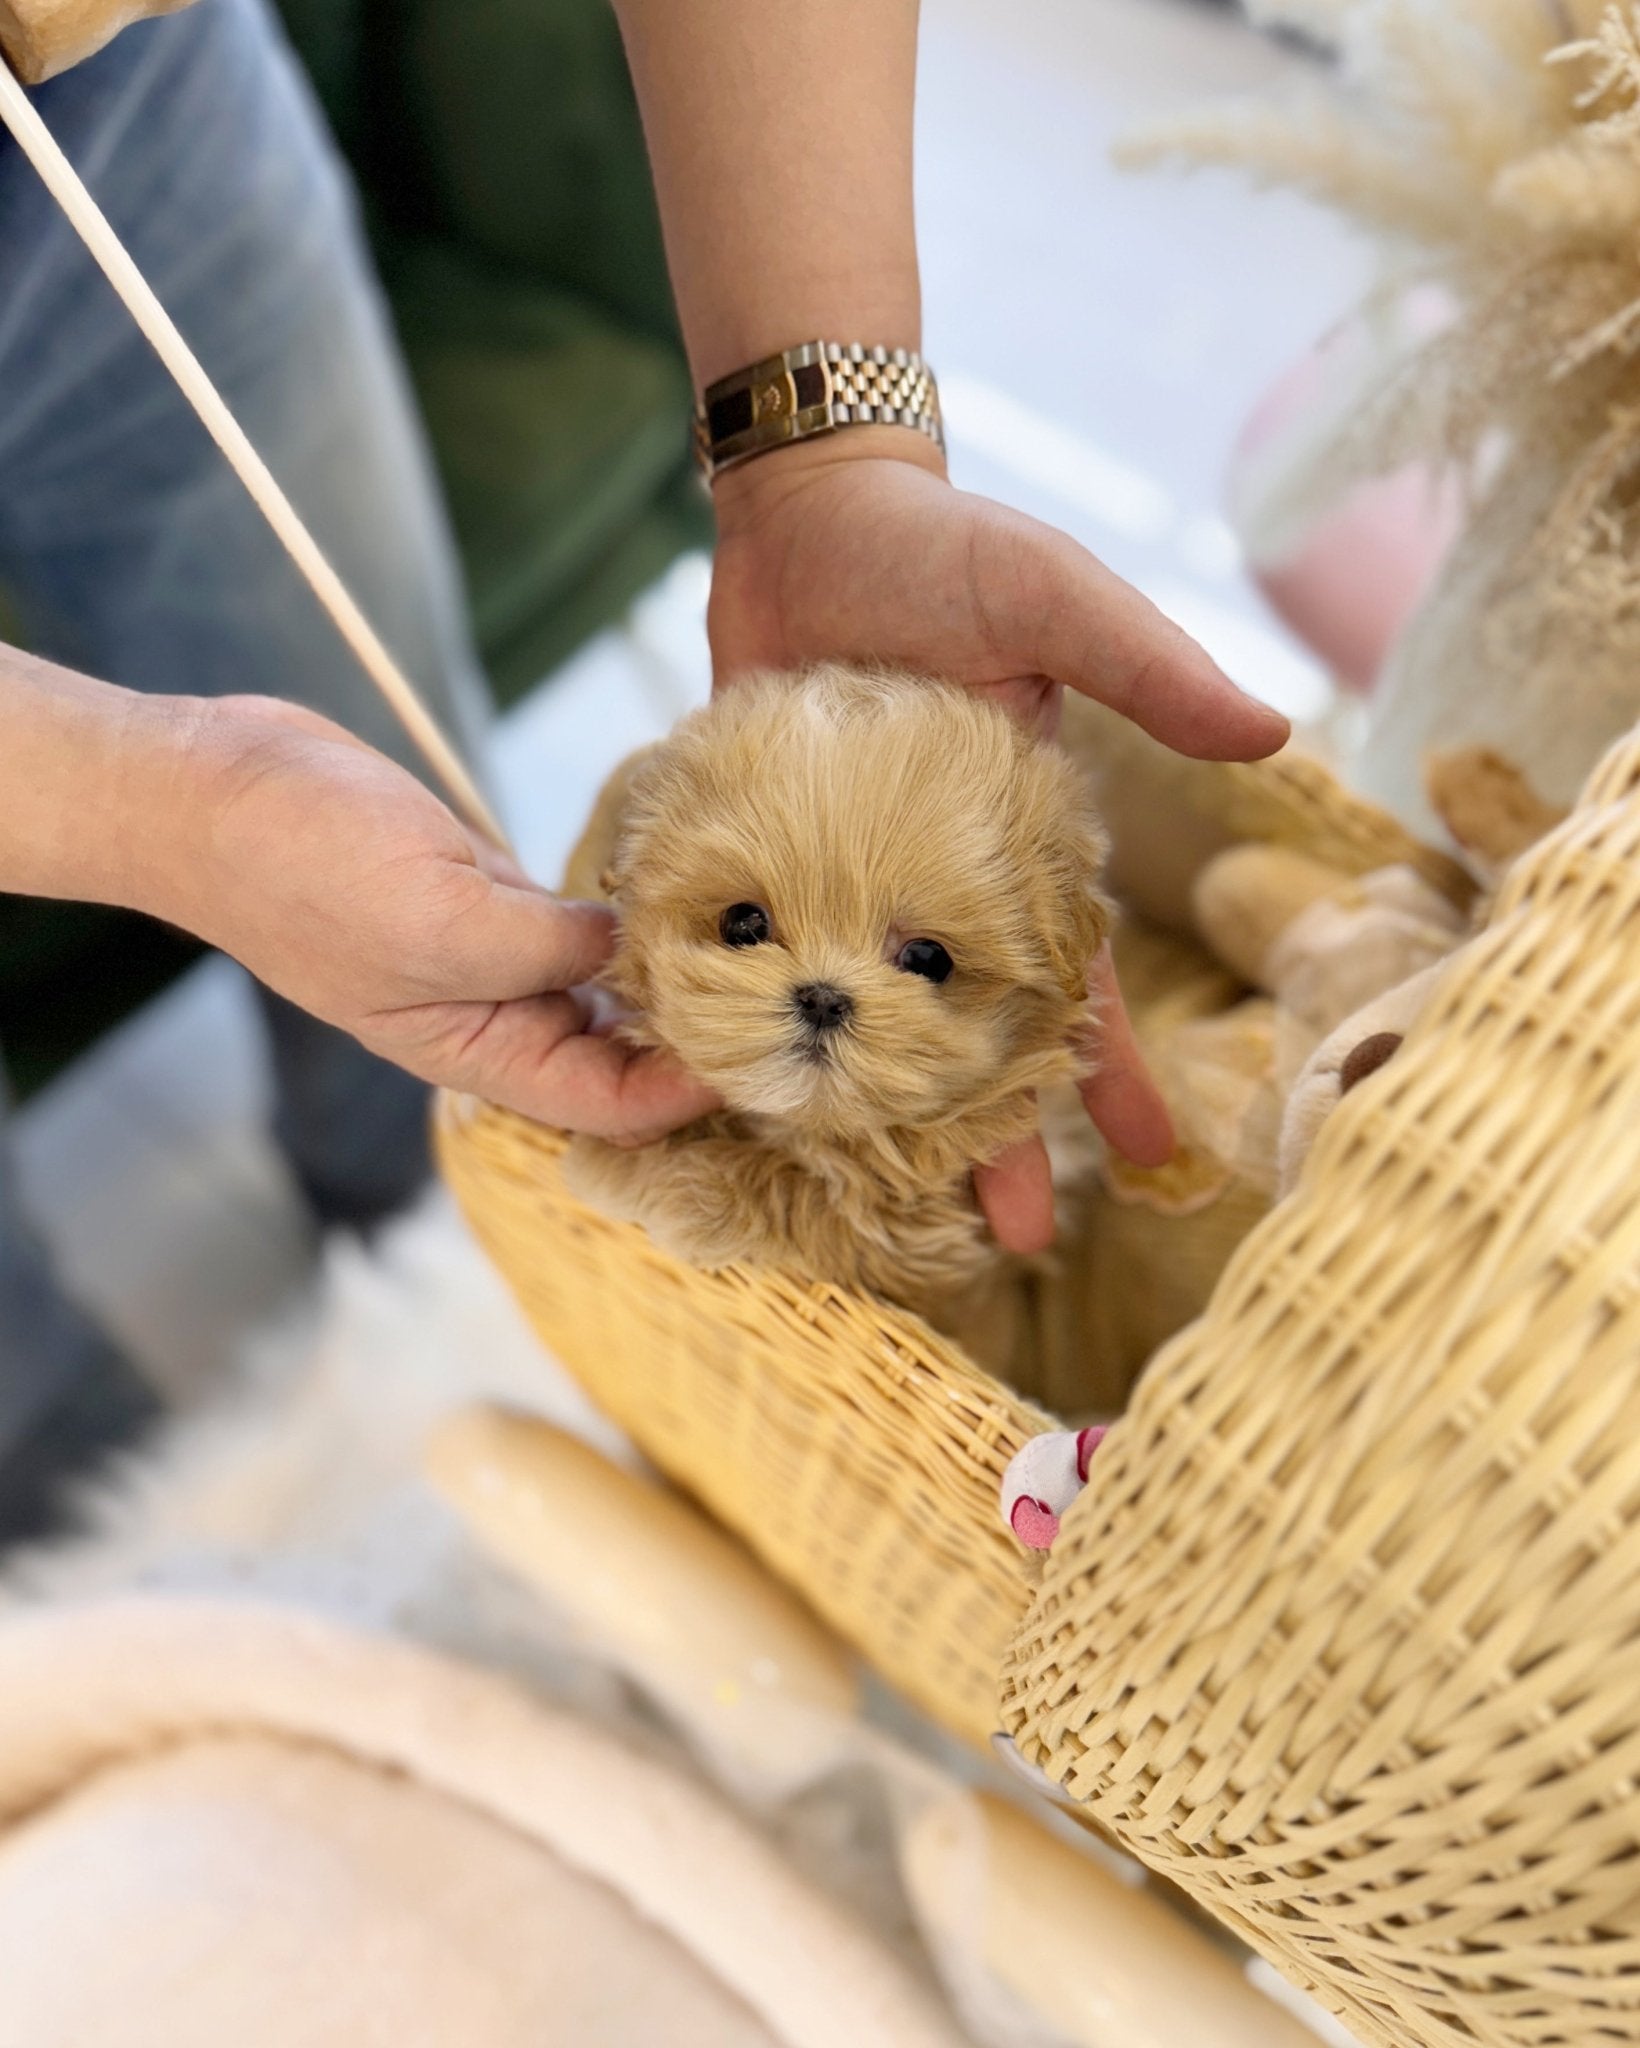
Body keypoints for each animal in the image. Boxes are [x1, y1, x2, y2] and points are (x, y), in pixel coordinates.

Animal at [556, 663, 1105, 1318]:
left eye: (928, 958)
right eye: (744, 924)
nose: (822, 998)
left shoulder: (925, 1238)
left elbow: (813, 1196)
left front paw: (655, 1177)